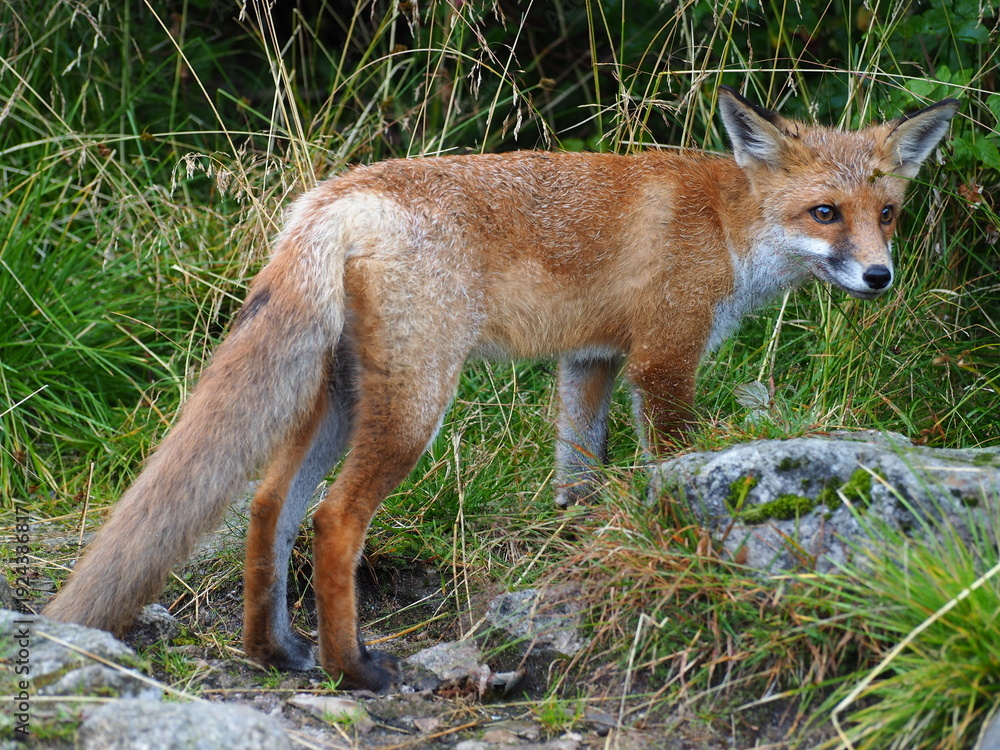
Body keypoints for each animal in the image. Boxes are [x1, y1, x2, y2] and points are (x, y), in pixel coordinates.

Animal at [43, 86, 958, 691]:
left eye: (887, 214)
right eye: (825, 213)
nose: (878, 277)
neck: (728, 226)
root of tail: (332, 198)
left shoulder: (590, 363)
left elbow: (576, 480)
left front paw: (580, 553)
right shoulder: (664, 358)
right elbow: (676, 456)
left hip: (342, 402)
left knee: (271, 505)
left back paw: (276, 653)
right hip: (415, 405)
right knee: (335, 521)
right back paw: (353, 670)